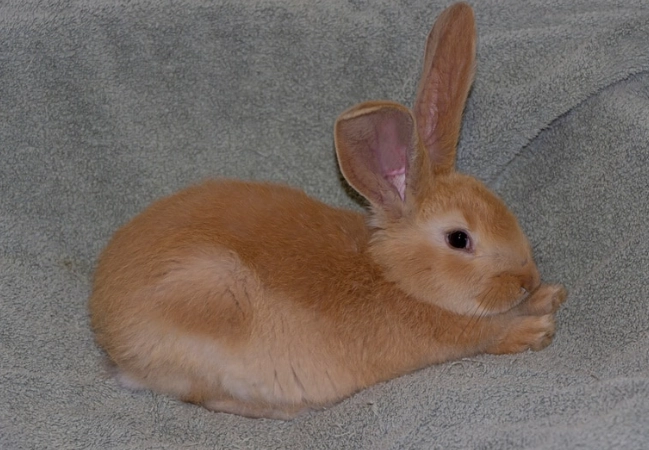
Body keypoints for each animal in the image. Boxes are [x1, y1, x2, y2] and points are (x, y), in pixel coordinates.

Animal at [89, 2, 567, 420]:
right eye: (459, 239)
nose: (527, 279)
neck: (395, 276)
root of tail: (107, 325)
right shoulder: (456, 332)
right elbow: (489, 333)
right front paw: (536, 329)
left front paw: (550, 295)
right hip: (210, 307)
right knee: (208, 397)